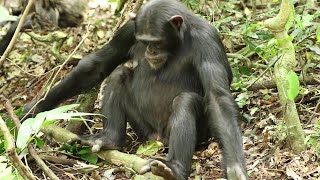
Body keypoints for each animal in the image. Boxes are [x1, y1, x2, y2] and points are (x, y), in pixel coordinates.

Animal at [24, 0, 248, 179]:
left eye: (157, 42)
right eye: (143, 41)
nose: (151, 50)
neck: (179, 39)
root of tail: (157, 139)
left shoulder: (207, 40)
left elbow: (217, 98)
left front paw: (235, 169)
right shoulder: (128, 31)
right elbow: (99, 65)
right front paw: (36, 107)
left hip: (194, 134)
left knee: (185, 100)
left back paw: (174, 168)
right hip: (143, 129)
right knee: (119, 74)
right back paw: (110, 138)